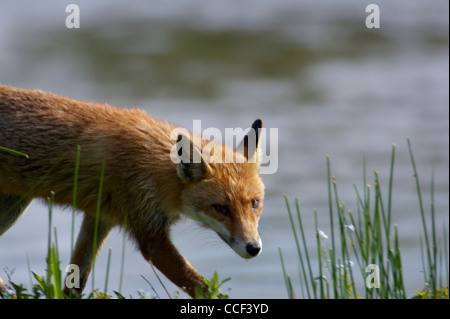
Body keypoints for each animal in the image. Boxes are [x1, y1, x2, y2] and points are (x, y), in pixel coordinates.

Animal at [0, 84, 264, 298]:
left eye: (254, 203)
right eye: (220, 208)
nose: (254, 248)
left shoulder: (99, 218)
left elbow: (75, 281)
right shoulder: (151, 236)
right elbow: (204, 288)